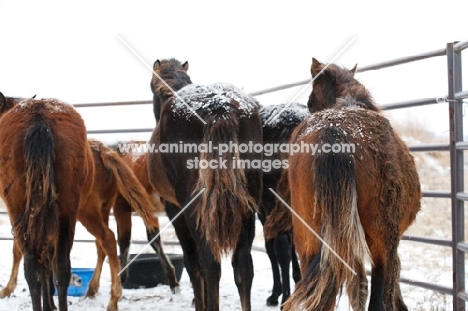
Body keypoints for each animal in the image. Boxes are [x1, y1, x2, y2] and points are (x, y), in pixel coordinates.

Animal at [148, 59, 262, 311]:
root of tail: (218, 107)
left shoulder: (175, 210)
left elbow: (193, 264)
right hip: (247, 209)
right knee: (243, 266)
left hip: (196, 210)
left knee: (210, 264)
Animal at [282, 59, 420, 311]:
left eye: (310, 100)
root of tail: (333, 130)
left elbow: (358, 288)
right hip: (383, 242)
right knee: (380, 295)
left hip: (309, 242)